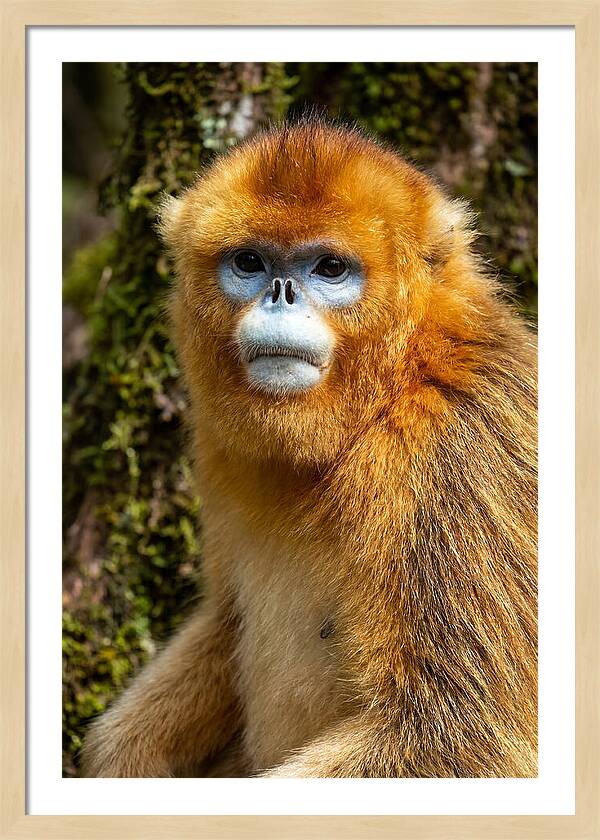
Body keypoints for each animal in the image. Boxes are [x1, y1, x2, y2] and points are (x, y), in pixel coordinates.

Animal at [82, 119, 537, 778]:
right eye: (249, 261)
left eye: (328, 268)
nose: (281, 292)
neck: (390, 393)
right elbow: (224, 621)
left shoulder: (461, 450)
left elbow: (463, 738)